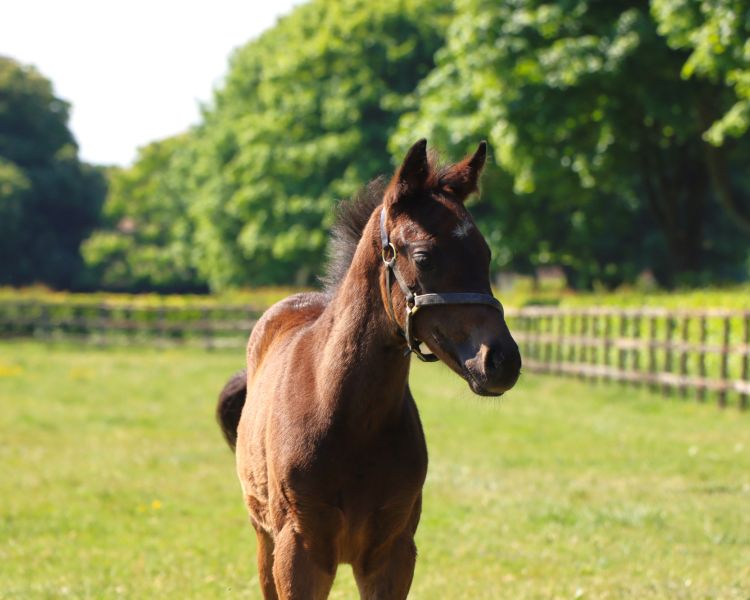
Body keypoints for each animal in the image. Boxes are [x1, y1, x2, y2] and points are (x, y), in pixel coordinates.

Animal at [216, 139, 521, 599]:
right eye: (424, 257)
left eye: (485, 254)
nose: (501, 361)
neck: (347, 417)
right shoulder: (297, 552)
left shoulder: (392, 554)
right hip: (263, 538)